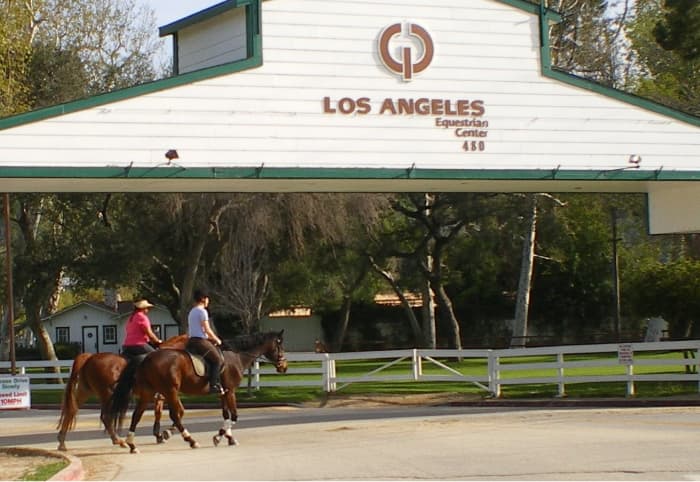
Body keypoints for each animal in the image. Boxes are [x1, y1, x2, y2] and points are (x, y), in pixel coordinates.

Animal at [56, 334, 189, 450]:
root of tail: (89, 358)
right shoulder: (166, 394)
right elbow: (177, 412)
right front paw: (166, 433)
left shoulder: (163, 396)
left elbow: (164, 413)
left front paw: (160, 435)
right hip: (107, 395)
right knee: (105, 417)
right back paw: (118, 441)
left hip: (85, 392)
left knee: (71, 411)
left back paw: (62, 442)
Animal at [106, 330, 288, 454]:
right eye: (280, 344)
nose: (284, 367)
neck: (236, 356)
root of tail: (147, 357)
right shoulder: (230, 391)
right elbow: (234, 416)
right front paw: (221, 436)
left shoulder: (223, 393)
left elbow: (226, 415)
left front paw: (226, 437)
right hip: (170, 391)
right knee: (175, 415)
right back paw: (190, 440)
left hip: (149, 393)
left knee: (137, 415)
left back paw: (132, 444)